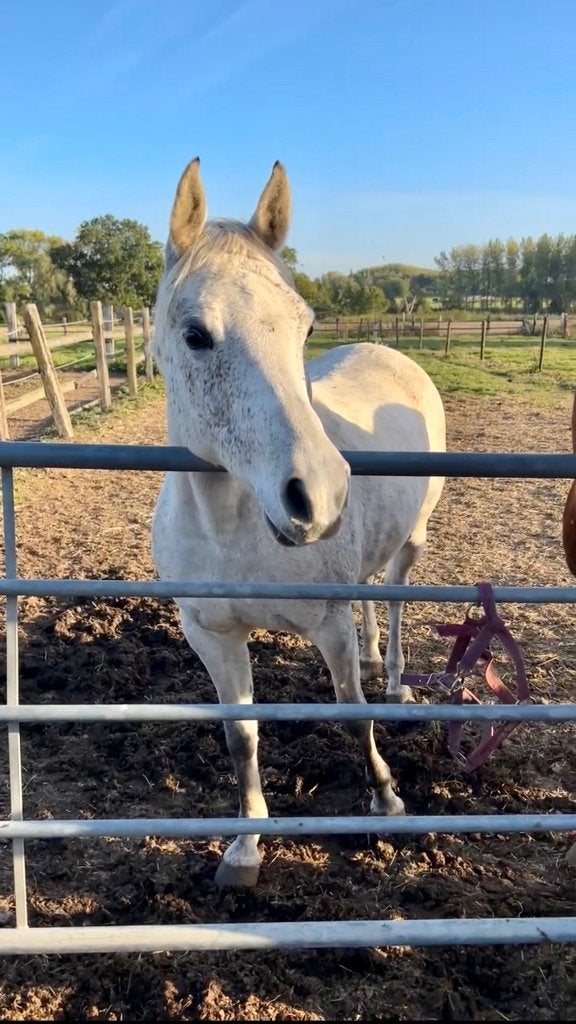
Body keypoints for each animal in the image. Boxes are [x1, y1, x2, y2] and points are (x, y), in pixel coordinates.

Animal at [151, 157, 446, 887]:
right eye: (195, 334)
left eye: (306, 328)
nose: (318, 494)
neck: (231, 529)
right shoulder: (211, 635)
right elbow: (241, 736)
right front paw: (245, 846)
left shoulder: (327, 627)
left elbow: (352, 715)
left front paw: (387, 799)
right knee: (369, 593)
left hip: (412, 543)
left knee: (392, 599)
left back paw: (392, 677)